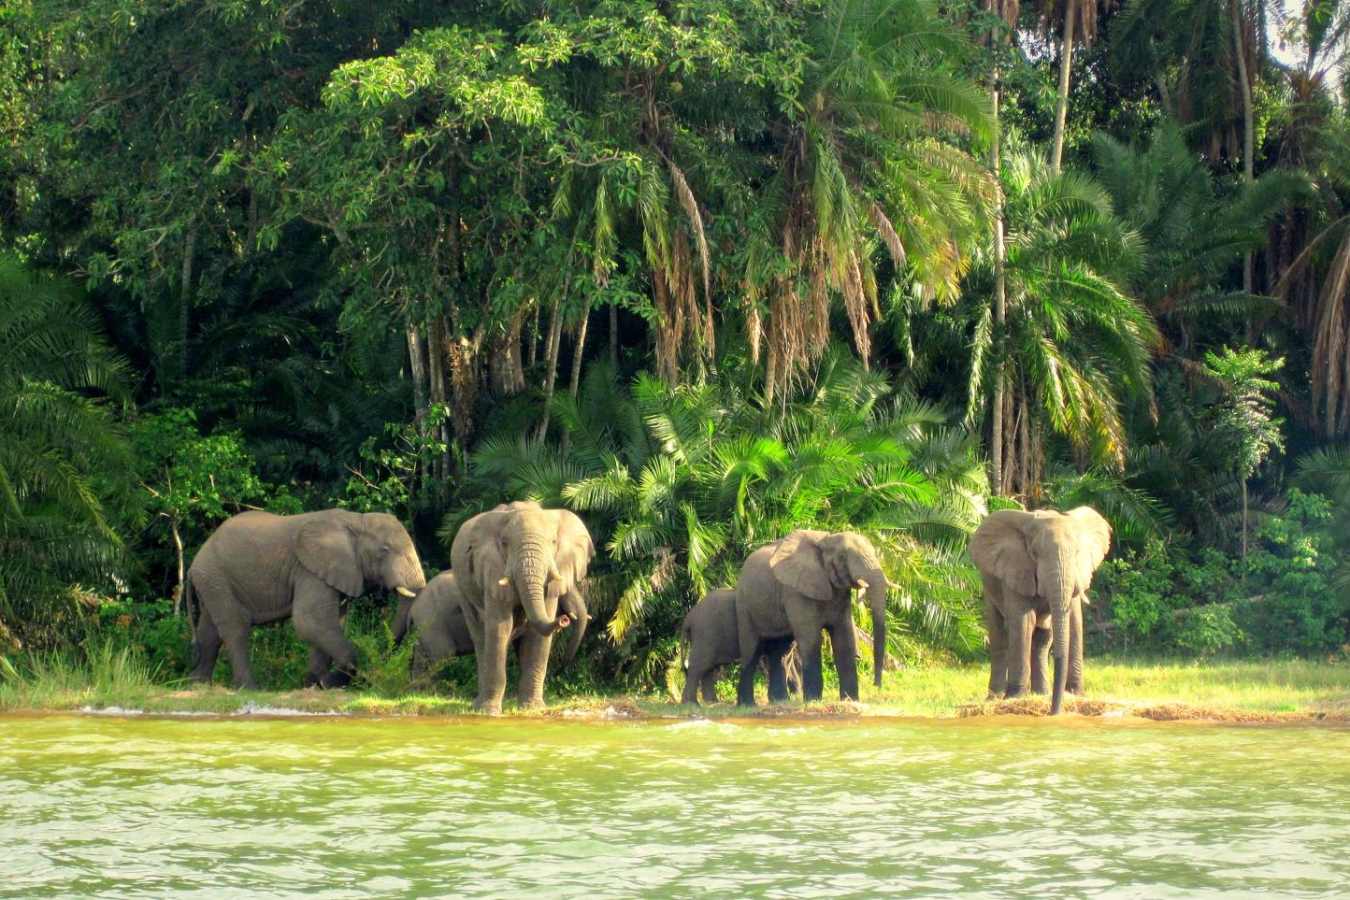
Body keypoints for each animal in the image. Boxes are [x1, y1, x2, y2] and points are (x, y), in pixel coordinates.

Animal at [184, 509, 427, 690]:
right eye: (384, 550)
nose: (373, 675)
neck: (355, 520)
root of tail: (194, 562)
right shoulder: (309, 570)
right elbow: (309, 621)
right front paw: (325, 682)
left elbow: (331, 623)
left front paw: (313, 684)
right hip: (216, 577)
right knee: (235, 627)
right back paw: (249, 688)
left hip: (212, 582)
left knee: (209, 631)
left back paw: (198, 685)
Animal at [449, 501, 594, 713]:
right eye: (504, 543)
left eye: (553, 542)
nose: (564, 619)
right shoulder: (491, 571)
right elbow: (500, 628)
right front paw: (490, 712)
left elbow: (537, 635)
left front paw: (532, 709)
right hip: (462, 591)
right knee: (481, 638)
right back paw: (478, 706)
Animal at [733, 530, 889, 705]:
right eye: (842, 556)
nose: (876, 686)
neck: (825, 540)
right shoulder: (796, 590)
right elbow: (811, 639)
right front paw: (814, 701)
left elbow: (844, 638)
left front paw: (851, 700)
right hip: (744, 605)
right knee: (751, 651)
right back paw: (747, 704)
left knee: (781, 653)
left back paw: (780, 701)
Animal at [968, 506, 1112, 715]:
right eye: (1034, 553)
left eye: (1077, 552)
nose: (1053, 712)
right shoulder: (1017, 568)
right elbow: (1024, 621)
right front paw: (1015, 697)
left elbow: (1075, 621)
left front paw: (1077, 695)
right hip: (989, 586)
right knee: (1000, 635)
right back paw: (995, 698)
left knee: (1042, 637)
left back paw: (1041, 693)